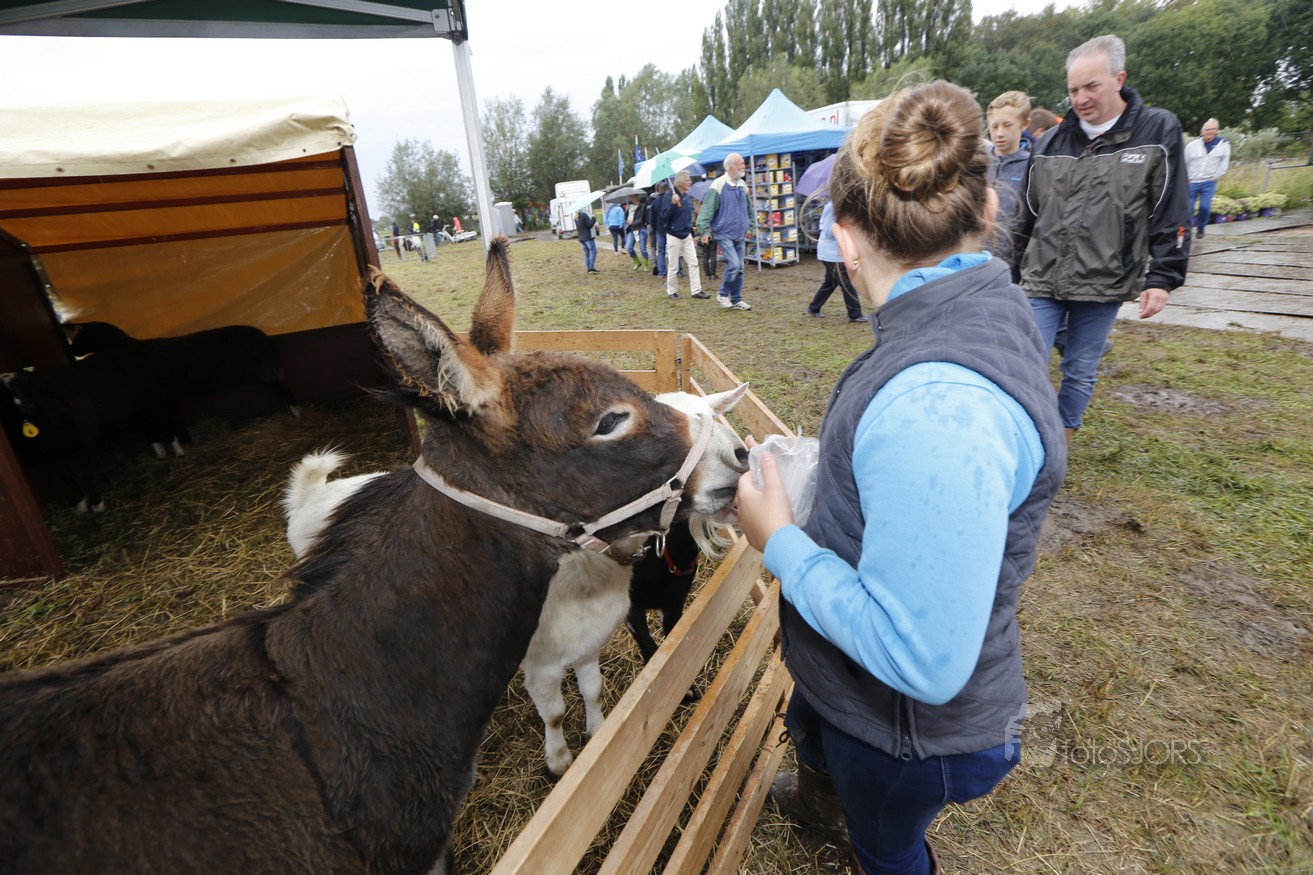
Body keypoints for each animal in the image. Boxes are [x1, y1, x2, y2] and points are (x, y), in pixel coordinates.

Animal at [69, 321, 301, 442]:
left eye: (83, 335)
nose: (71, 352)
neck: (132, 349)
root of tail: (266, 339)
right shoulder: (171, 395)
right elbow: (175, 416)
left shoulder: (165, 394)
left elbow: (175, 418)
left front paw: (185, 439)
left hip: (264, 372)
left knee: (284, 389)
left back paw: (297, 412)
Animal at [281, 385, 749, 777]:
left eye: (713, 415)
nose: (739, 457)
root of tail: (315, 495)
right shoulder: (541, 659)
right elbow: (555, 712)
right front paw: (559, 763)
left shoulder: (589, 638)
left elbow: (594, 689)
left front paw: (596, 731)